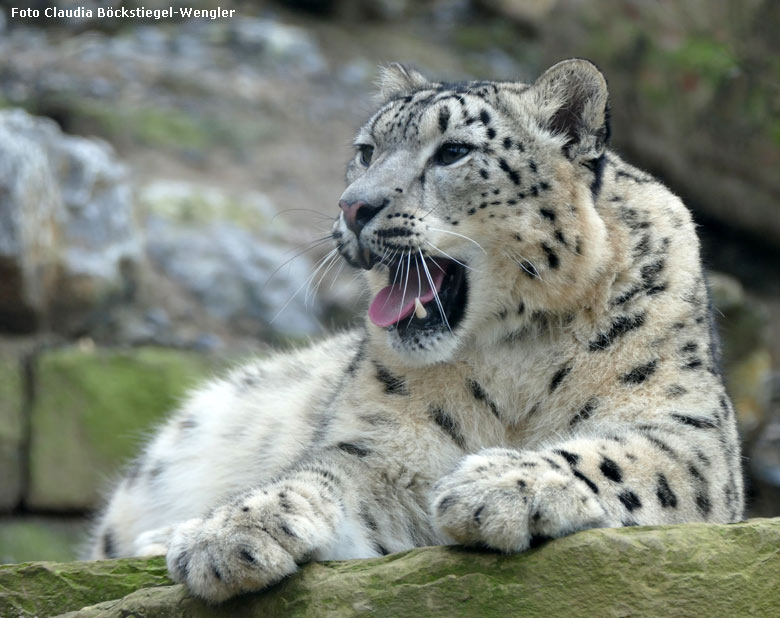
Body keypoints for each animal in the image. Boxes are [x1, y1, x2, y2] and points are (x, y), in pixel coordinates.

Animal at [91, 60, 744, 600]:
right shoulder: (386, 448)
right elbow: (323, 472)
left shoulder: (691, 434)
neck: (514, 360)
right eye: (366, 150)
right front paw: (229, 531)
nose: (354, 206)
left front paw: (502, 483)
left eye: (453, 151)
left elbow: (626, 457)